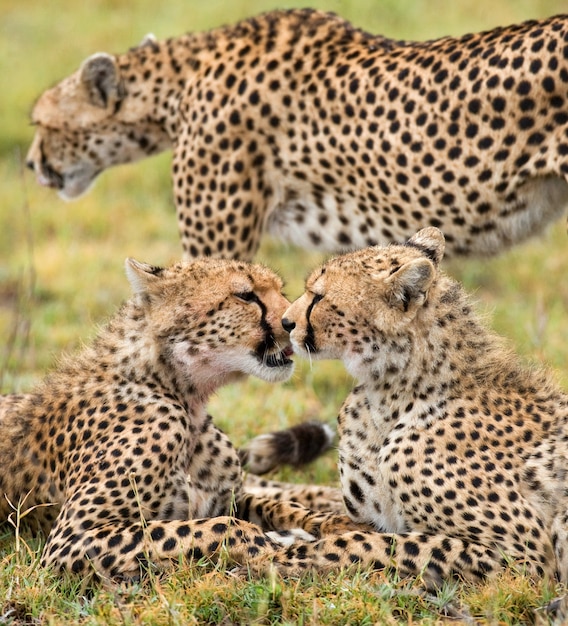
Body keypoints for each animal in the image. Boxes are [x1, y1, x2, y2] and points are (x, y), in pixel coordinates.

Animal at [0, 256, 356, 576]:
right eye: (245, 295)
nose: (292, 322)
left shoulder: (226, 497)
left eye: (280, 289)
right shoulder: (69, 540)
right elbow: (224, 526)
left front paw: (335, 522)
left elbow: (277, 506)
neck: (184, 399)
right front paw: (279, 545)